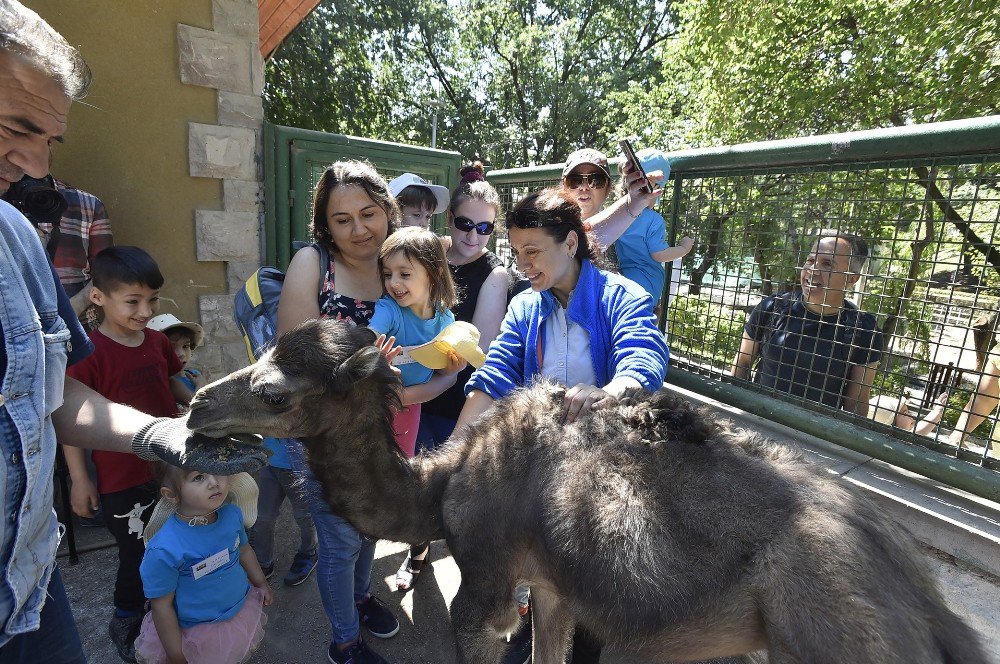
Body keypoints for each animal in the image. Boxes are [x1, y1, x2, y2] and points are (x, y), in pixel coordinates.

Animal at [186, 320, 984, 664]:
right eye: (261, 352)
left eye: (275, 392)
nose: (196, 404)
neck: (442, 483)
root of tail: (929, 608)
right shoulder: (554, 588)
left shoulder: (486, 583)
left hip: (829, 636)